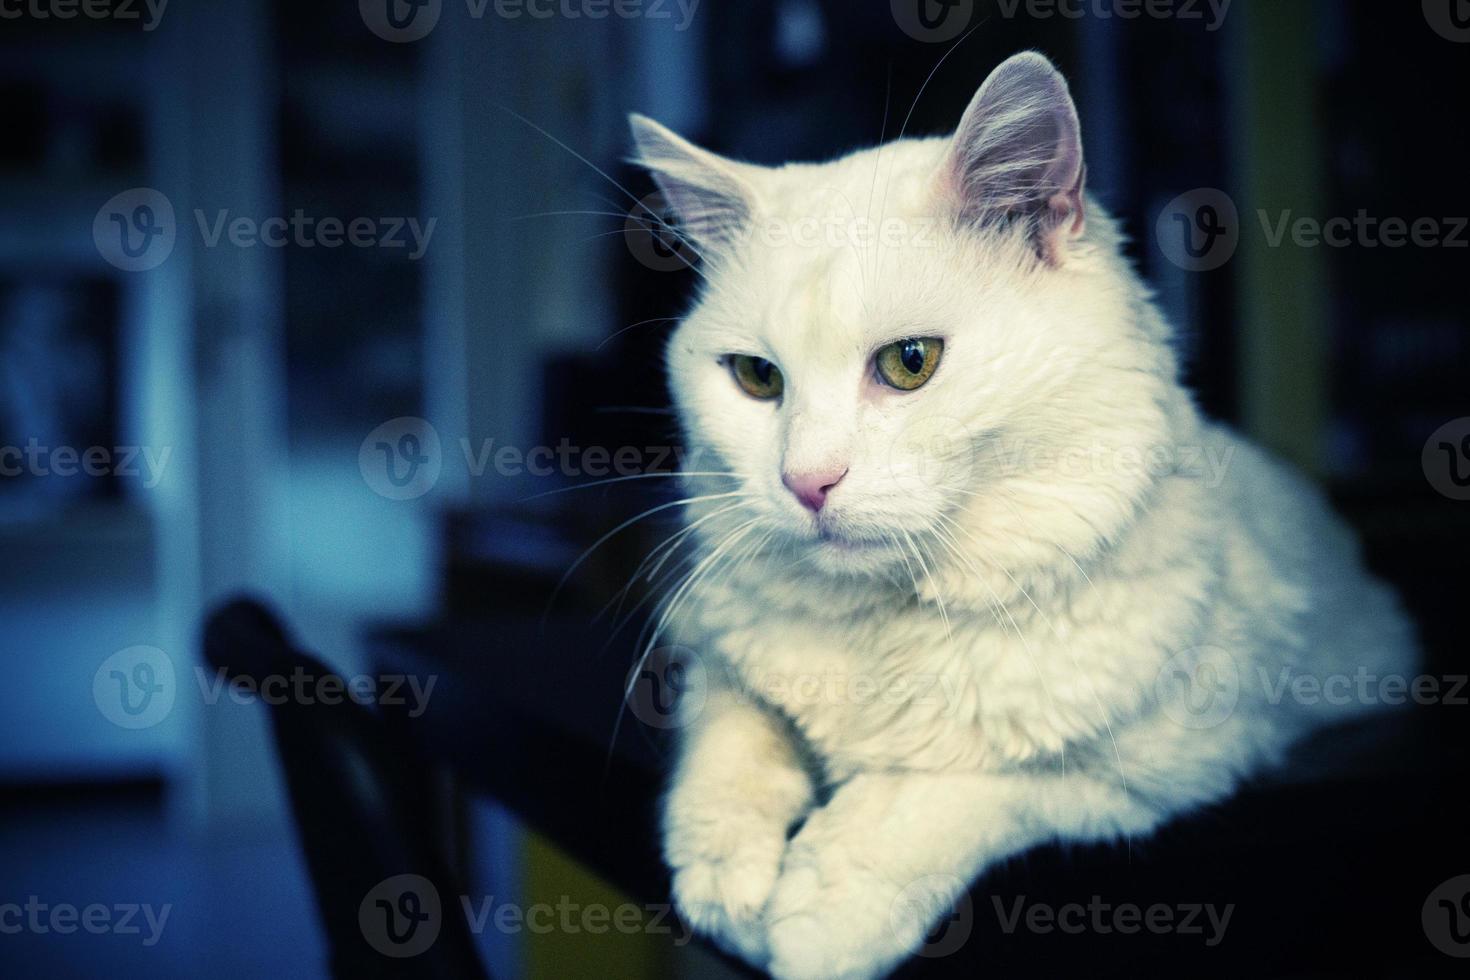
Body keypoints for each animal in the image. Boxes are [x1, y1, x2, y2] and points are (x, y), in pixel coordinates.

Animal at [626, 49, 1417, 975]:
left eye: (911, 362)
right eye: (755, 378)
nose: (806, 482)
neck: (887, 619)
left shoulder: (1166, 767)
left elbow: (958, 789)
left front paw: (821, 913)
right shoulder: (713, 656)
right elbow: (728, 739)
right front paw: (726, 879)